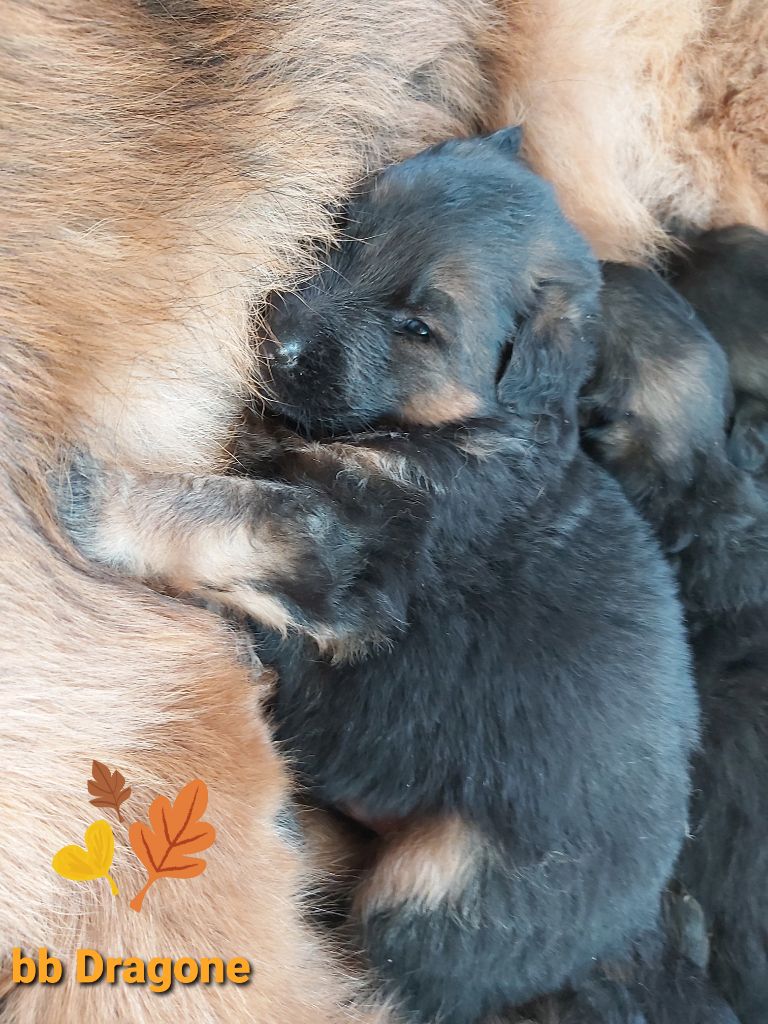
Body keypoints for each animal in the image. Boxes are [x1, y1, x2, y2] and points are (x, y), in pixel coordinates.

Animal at [243, 132, 700, 1024]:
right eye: (344, 229)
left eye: (417, 328)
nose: (274, 342)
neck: (487, 426)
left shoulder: (358, 543)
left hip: (439, 883)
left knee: (390, 964)